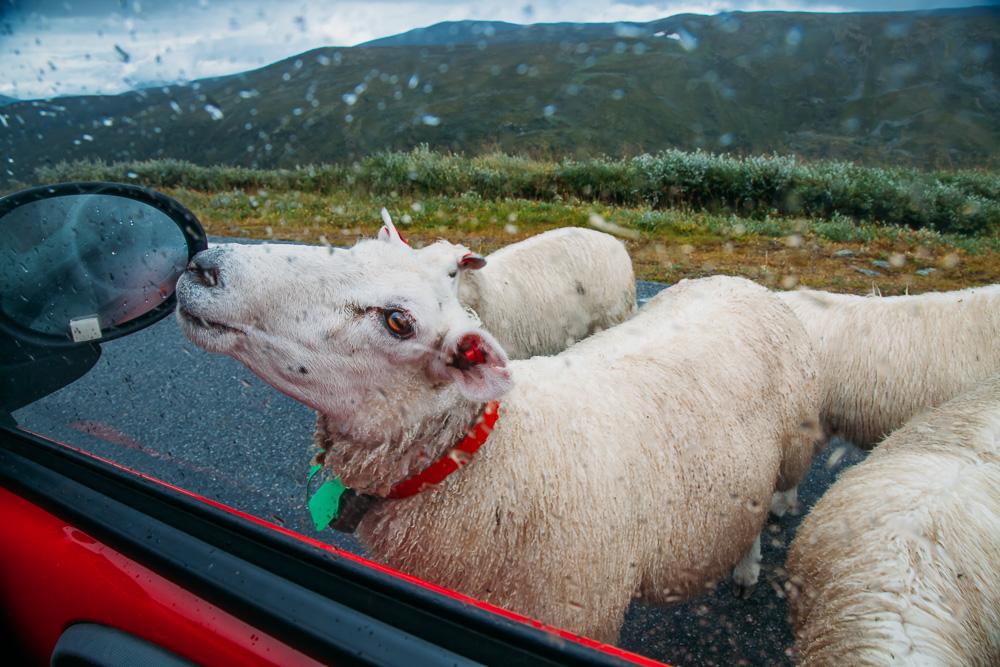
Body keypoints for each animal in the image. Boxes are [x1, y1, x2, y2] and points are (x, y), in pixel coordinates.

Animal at [176, 236, 820, 648]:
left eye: (397, 321)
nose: (205, 265)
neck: (492, 462)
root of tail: (740, 281)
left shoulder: (580, 617)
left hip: (787, 456)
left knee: (760, 514)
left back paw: (747, 569)